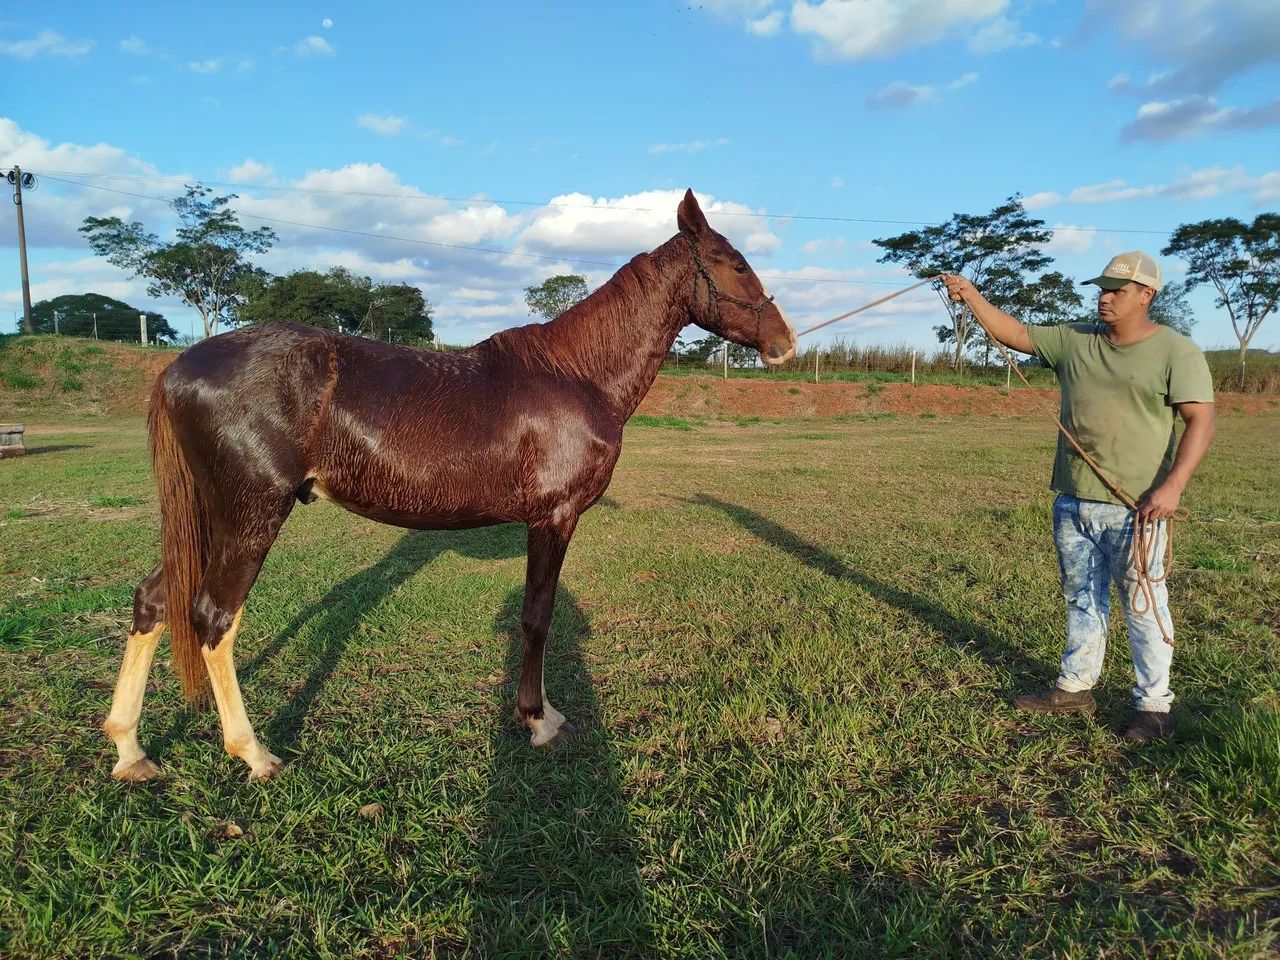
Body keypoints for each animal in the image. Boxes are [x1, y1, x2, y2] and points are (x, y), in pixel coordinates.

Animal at [103, 189, 797, 782]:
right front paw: (538, 719)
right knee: (213, 617)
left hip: (208, 516)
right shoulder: (553, 518)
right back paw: (253, 752)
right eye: (735, 263)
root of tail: (179, 368)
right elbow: (537, 616)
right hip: (249, 514)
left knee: (155, 601)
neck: (575, 373)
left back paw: (130, 750)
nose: (785, 342)